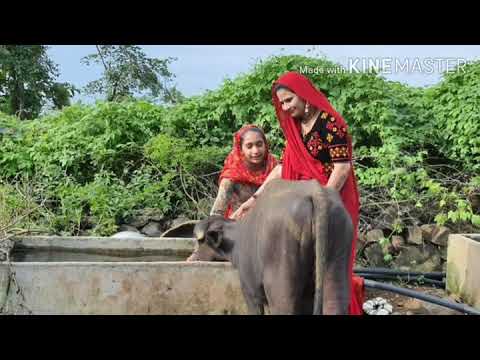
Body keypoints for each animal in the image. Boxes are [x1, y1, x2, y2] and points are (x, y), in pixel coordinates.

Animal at [193, 180, 354, 316]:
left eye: (201, 242)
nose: (194, 257)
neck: (237, 239)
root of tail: (316, 191)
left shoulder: (250, 290)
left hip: (280, 283)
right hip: (335, 262)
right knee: (334, 303)